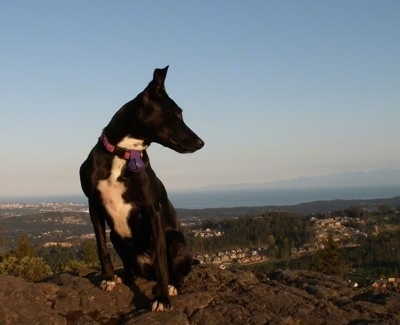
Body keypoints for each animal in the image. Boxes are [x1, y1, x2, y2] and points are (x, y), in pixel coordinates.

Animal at [79, 65, 203, 308]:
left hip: (176, 240)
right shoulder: (93, 204)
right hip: (117, 237)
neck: (123, 154)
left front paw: (162, 298)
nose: (201, 142)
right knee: (129, 264)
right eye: (177, 114)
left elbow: (163, 262)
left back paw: (173, 286)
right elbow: (101, 246)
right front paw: (108, 278)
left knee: (177, 273)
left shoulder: (153, 209)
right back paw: (127, 276)